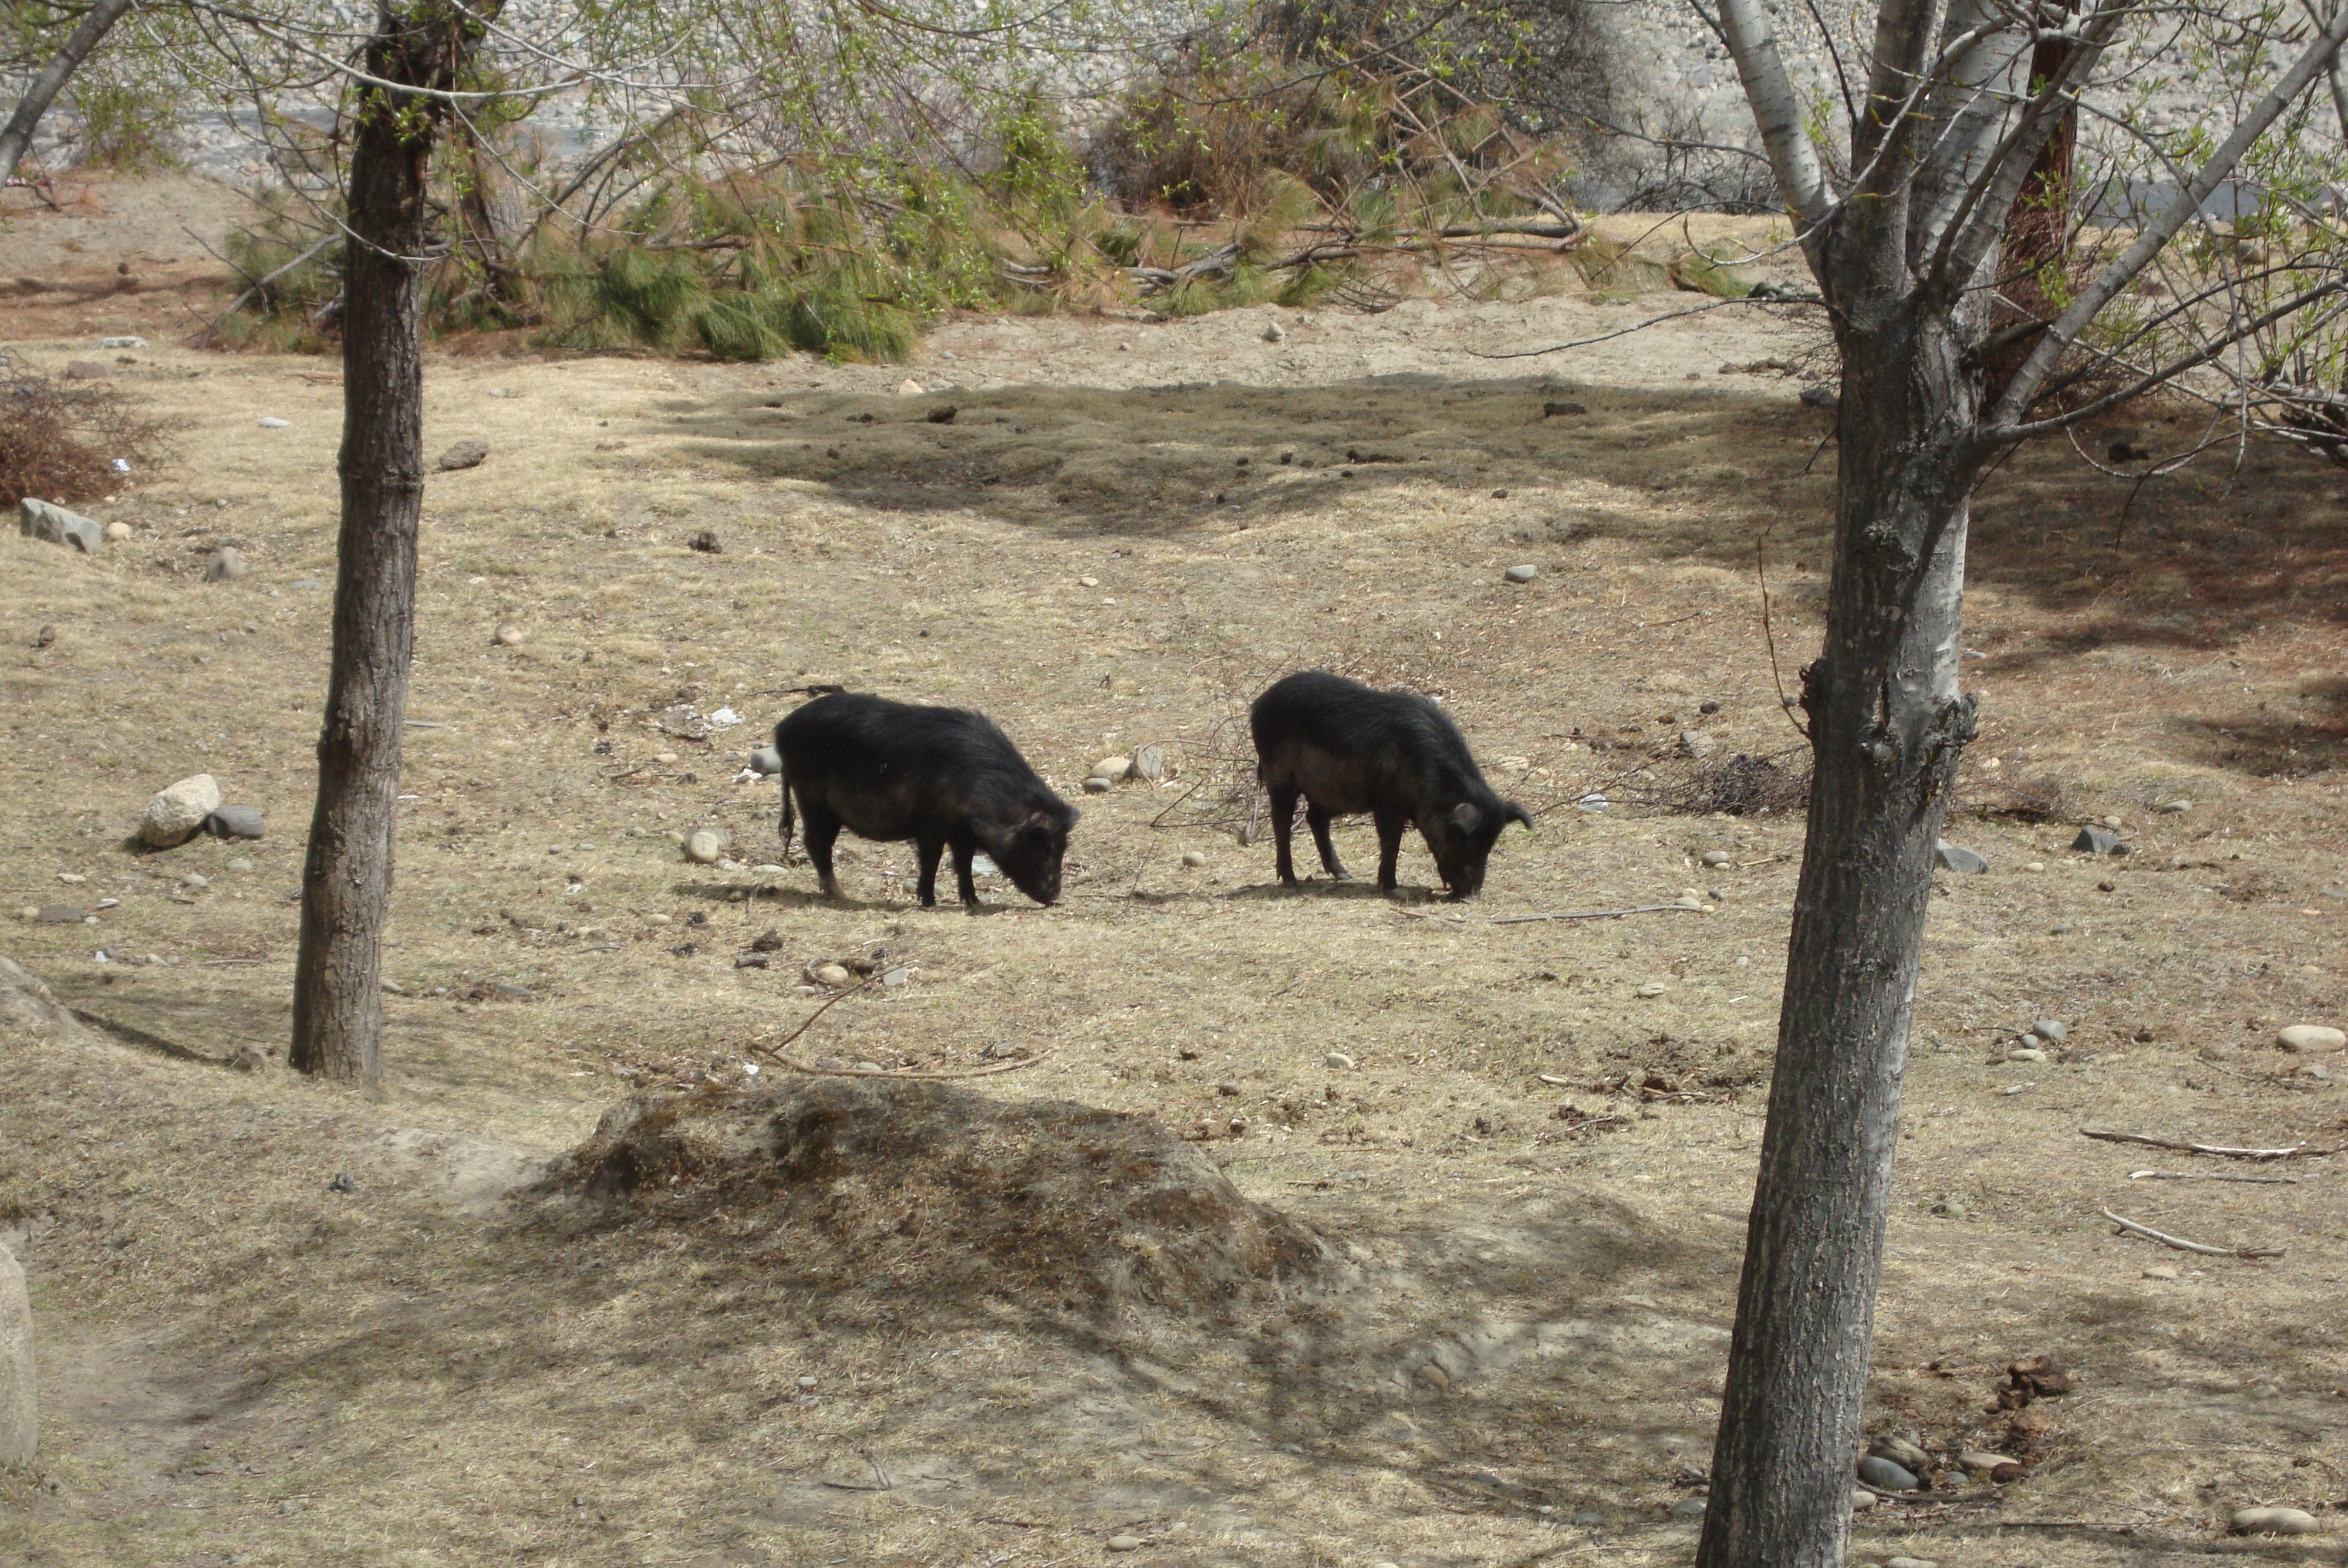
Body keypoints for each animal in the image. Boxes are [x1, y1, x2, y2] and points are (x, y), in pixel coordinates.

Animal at [780, 695, 1080, 906]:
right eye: (1042, 846)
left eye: (1063, 846)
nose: (1056, 896)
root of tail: (782, 729)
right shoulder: (931, 824)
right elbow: (931, 860)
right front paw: (929, 902)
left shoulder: (963, 832)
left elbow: (964, 864)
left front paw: (973, 902)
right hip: (813, 800)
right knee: (816, 843)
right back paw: (840, 895)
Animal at [1259, 667, 1531, 901]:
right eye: (1463, 840)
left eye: (1489, 845)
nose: (1471, 897)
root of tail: (1260, 704)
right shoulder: (1387, 803)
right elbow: (1391, 843)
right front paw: (1391, 887)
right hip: (1279, 775)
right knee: (1281, 822)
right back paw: (1290, 881)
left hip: (1330, 791)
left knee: (1315, 819)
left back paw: (1345, 875)